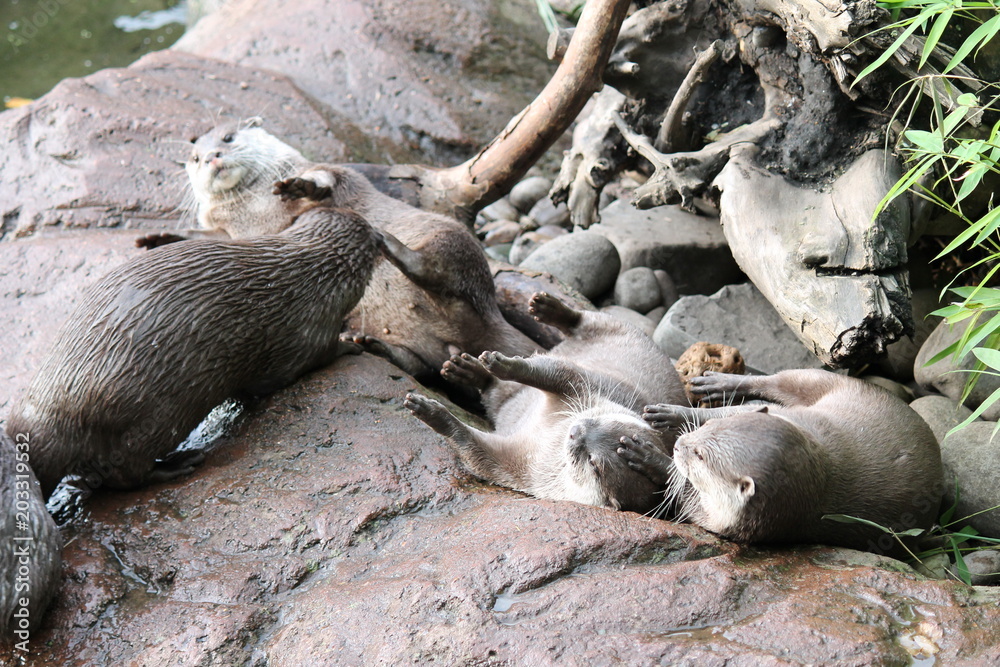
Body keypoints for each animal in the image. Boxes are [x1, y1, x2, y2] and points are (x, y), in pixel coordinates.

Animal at [7, 203, 389, 498]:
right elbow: (308, 361)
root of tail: (43, 425)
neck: (318, 272)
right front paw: (351, 344)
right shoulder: (308, 332)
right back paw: (180, 463)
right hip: (152, 416)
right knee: (126, 474)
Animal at [181, 119, 541, 379]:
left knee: (441, 270)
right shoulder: (231, 230)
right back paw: (370, 343)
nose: (211, 157)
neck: (254, 207)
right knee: (423, 367)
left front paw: (303, 186)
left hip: (453, 238)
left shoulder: (335, 175)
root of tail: (493, 316)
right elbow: (213, 238)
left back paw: (391, 246)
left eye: (228, 138)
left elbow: (330, 179)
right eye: (195, 158)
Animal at [404, 292, 688, 513]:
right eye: (606, 425)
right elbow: (555, 372)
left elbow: (477, 454)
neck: (547, 436)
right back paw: (545, 310)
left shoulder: (522, 471)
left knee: (495, 393)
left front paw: (432, 414)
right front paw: (503, 364)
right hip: (625, 329)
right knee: (588, 320)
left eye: (593, 462)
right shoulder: (584, 387)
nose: (577, 431)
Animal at [618, 370, 943, 553]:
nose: (680, 445)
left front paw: (649, 457)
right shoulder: (792, 416)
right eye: (707, 429)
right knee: (777, 380)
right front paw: (675, 415)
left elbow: (684, 496)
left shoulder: (729, 522)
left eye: (700, 456)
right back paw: (716, 383)